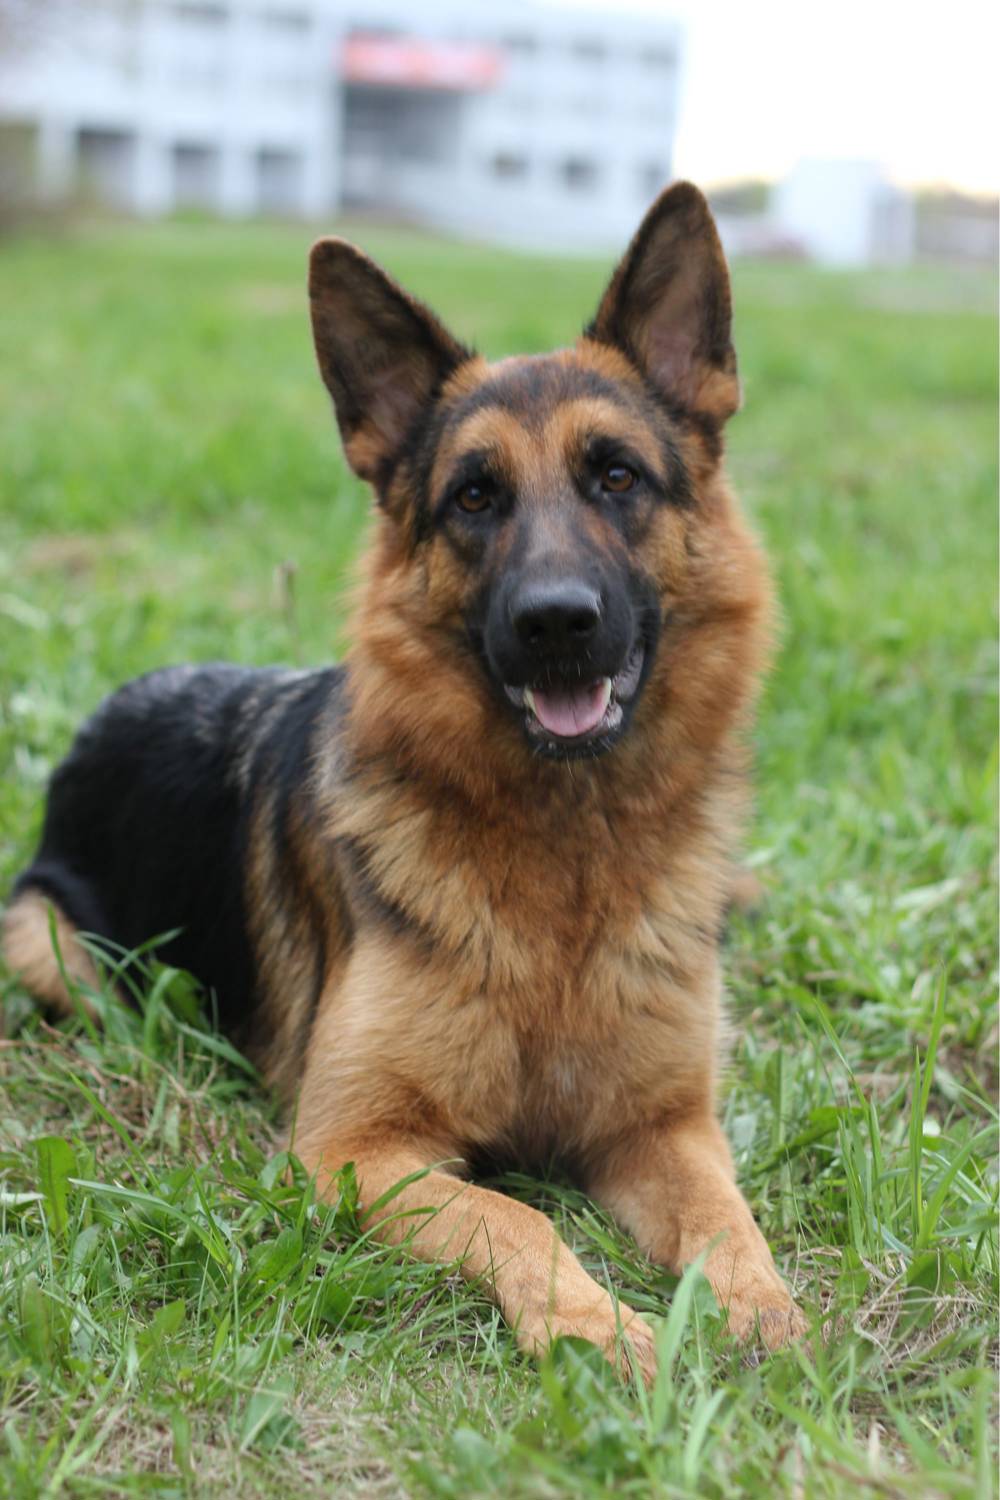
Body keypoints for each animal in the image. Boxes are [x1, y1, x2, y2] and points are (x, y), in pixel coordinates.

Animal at [3, 181, 803, 1374]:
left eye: (617, 476)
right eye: (473, 497)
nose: (556, 623)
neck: (565, 863)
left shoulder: (663, 1127)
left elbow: (727, 1217)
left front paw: (765, 1314)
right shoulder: (358, 1148)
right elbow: (516, 1216)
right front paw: (593, 1328)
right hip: (53, 950)